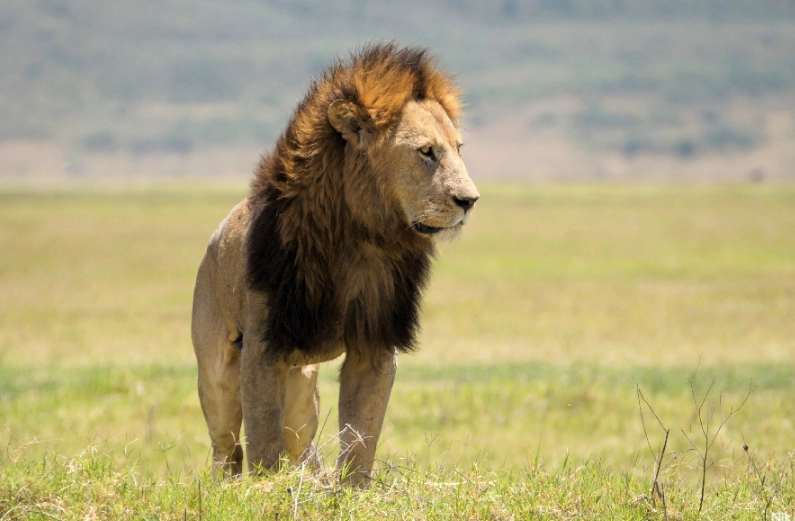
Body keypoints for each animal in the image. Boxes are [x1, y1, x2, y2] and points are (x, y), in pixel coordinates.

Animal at [191, 43, 479, 485]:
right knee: (228, 446)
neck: (361, 239)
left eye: (458, 149)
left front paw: (352, 490)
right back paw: (229, 486)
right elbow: (262, 434)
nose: (470, 200)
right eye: (426, 151)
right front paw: (265, 488)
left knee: (299, 443)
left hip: (301, 390)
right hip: (218, 376)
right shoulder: (262, 345)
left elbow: (362, 432)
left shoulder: (375, 340)